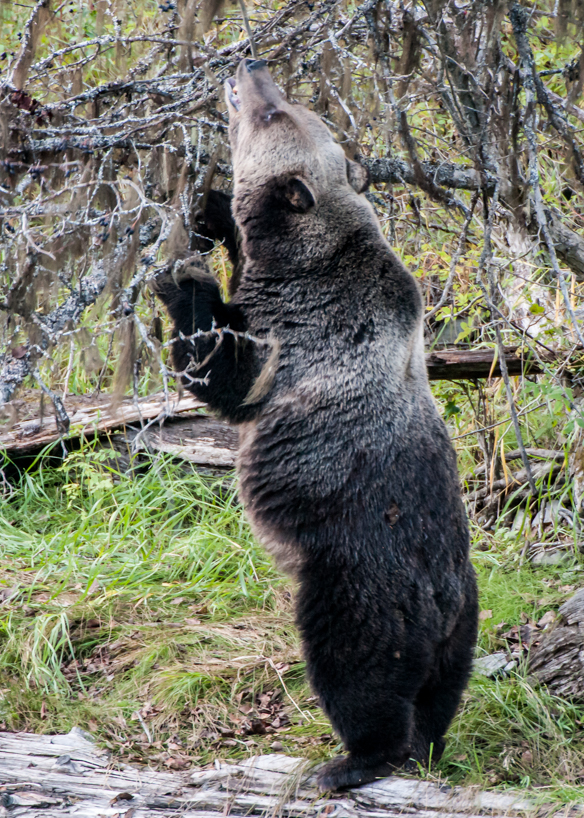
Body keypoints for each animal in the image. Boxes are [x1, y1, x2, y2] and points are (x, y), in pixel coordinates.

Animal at [153, 59, 478, 792]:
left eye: (275, 113)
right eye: (293, 104)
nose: (249, 66)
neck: (301, 254)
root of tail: (438, 601)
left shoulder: (304, 329)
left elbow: (227, 376)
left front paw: (184, 281)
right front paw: (209, 208)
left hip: (355, 578)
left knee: (358, 669)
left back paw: (352, 760)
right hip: (464, 611)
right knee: (441, 694)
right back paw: (429, 743)